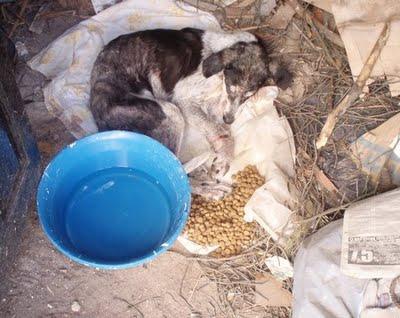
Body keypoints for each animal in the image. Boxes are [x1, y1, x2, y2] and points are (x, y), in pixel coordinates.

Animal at [90, 27, 290, 198]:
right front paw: (223, 159)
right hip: (171, 112)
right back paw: (210, 189)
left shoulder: (215, 108)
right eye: (231, 88)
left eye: (248, 96)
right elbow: (221, 132)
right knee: (173, 171)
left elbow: (220, 130)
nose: (229, 119)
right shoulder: (184, 101)